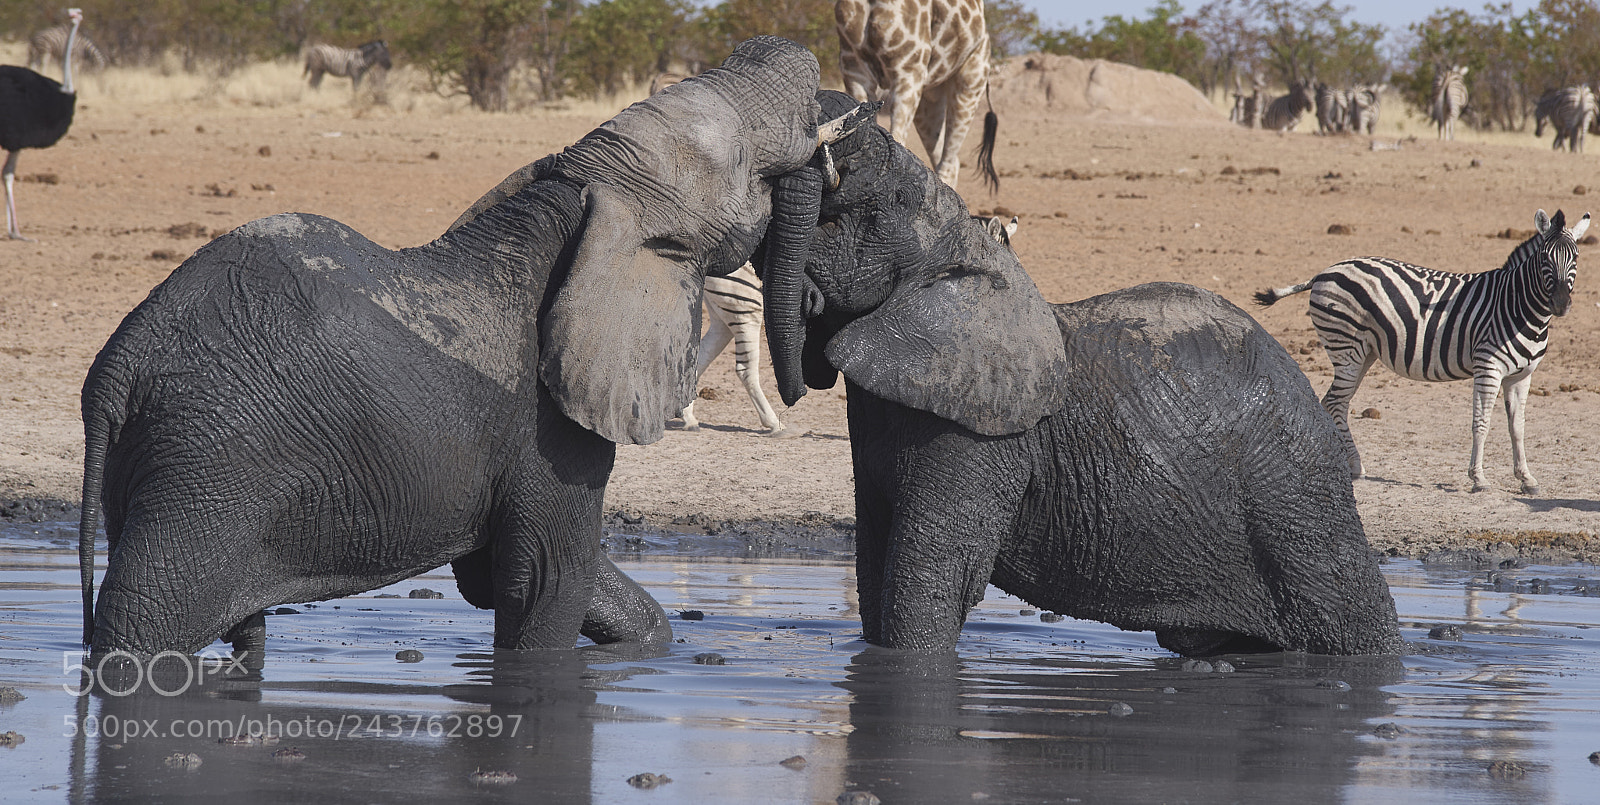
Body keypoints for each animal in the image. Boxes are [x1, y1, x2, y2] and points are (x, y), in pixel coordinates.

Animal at [77, 37, 857, 657]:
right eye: (746, 165)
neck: (583, 190)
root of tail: (117, 368)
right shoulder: (545, 421)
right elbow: (545, 582)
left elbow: (504, 574)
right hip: (208, 464)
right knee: (142, 623)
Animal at [751, 90, 1405, 656]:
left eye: (866, 207)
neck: (963, 247)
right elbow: (875, 562)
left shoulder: (984, 435)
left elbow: (930, 583)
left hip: (1299, 505)